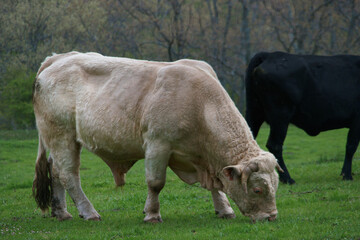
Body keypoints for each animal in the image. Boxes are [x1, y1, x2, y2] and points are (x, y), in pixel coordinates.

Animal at [32, 52, 282, 223]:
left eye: (276, 186)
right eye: (257, 189)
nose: (271, 216)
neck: (200, 104)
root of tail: (58, 58)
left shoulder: (208, 160)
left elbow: (217, 187)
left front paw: (224, 209)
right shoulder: (157, 145)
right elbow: (155, 183)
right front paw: (152, 214)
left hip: (58, 141)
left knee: (55, 171)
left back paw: (61, 212)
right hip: (62, 136)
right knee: (68, 175)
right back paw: (89, 212)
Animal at [245, 51, 360, 185]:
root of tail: (270, 54)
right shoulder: (357, 120)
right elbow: (351, 146)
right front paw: (347, 175)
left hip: (255, 112)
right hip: (280, 117)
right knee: (275, 145)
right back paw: (287, 179)